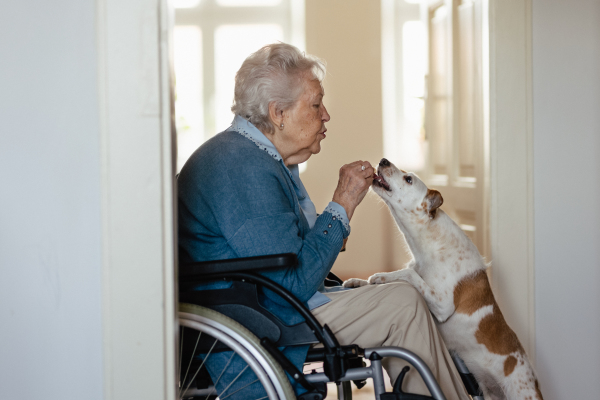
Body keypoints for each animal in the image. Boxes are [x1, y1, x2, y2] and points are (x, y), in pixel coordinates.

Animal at [342, 159, 544, 400]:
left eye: (408, 179)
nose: (383, 161)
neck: (430, 241)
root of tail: (536, 385)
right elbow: (399, 275)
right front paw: (359, 281)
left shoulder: (442, 304)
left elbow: (408, 275)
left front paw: (380, 276)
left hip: (519, 392)